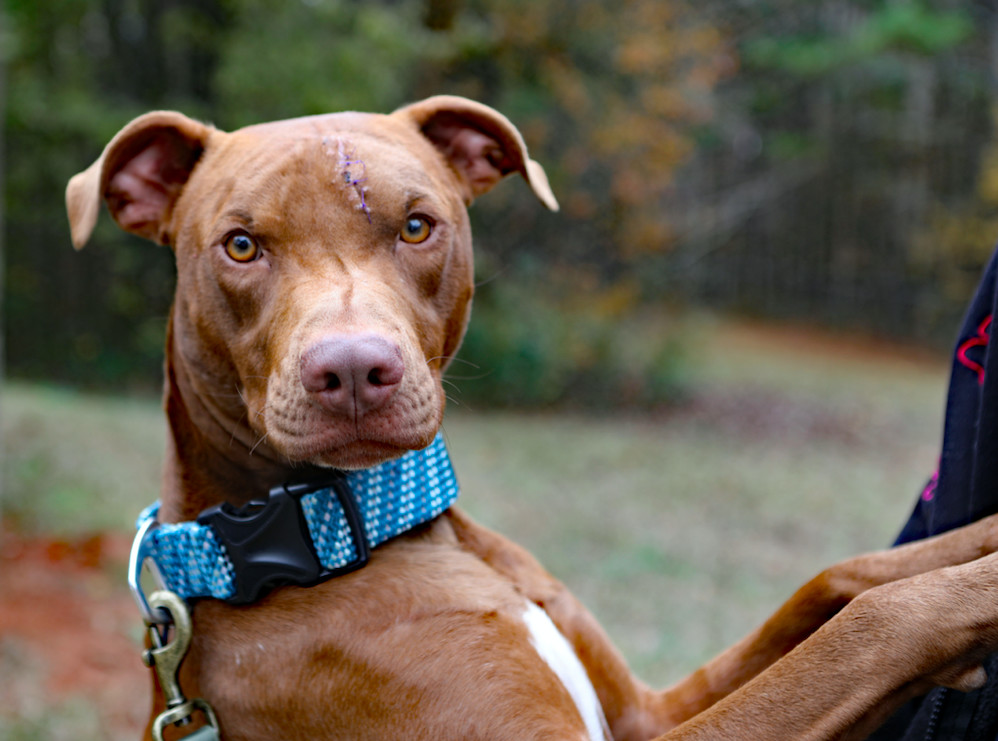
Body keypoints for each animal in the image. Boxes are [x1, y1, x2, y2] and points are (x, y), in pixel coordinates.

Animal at [68, 95, 998, 736]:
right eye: (241, 246)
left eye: (417, 226)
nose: (354, 370)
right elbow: (867, 627)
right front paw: (975, 587)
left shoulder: (649, 712)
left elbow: (838, 583)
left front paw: (980, 539)